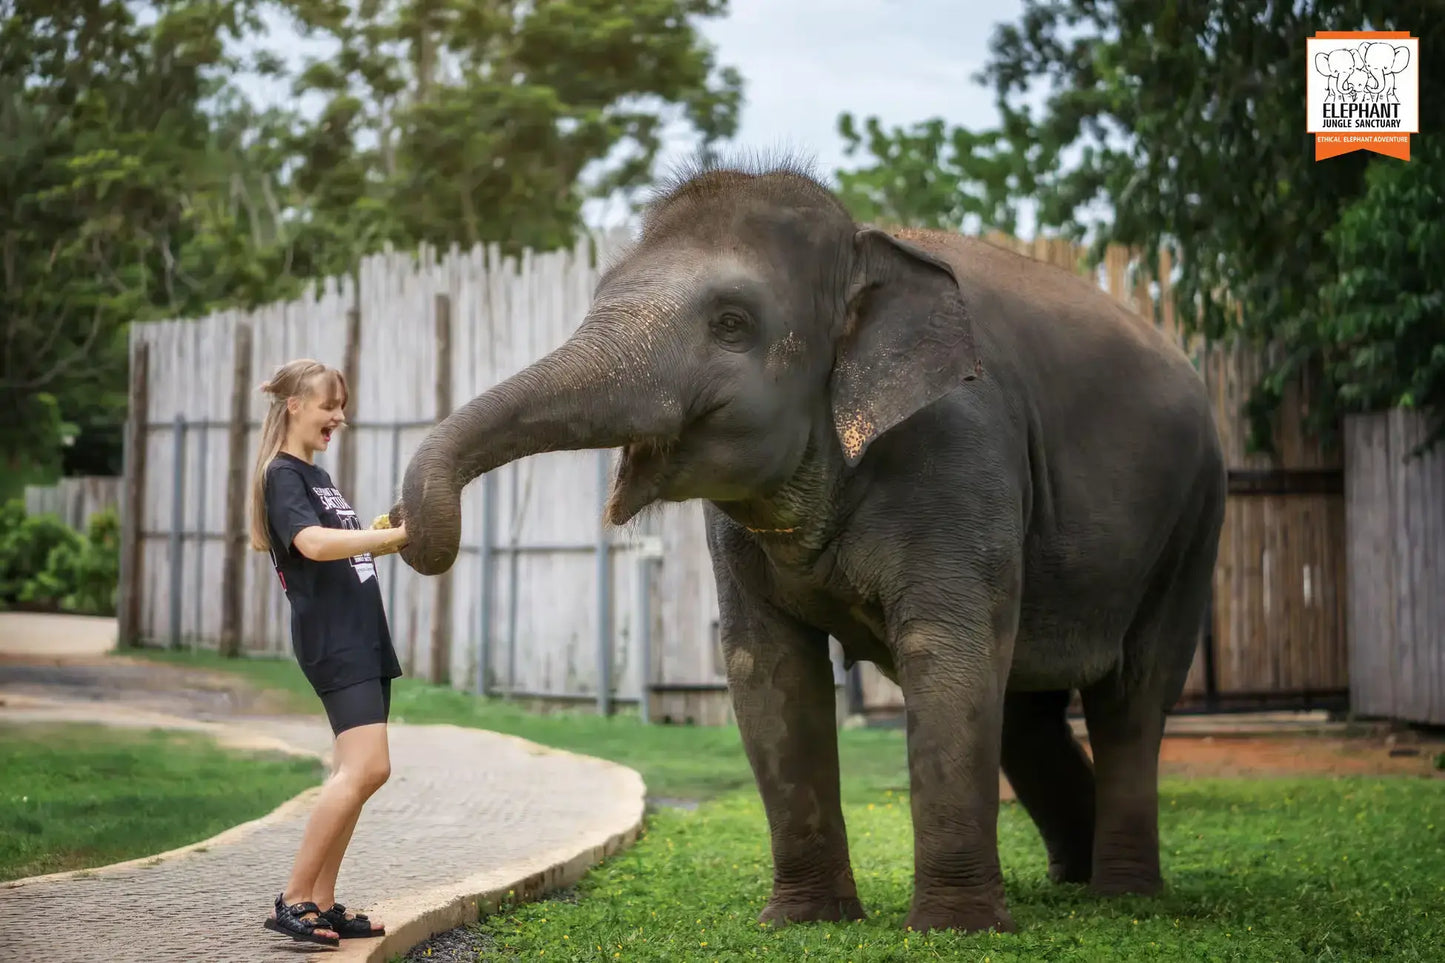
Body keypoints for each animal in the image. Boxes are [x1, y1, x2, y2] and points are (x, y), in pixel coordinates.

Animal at [389, 158, 1227, 935]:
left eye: (731, 322)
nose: (409, 529)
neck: (865, 250)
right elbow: (767, 671)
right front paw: (805, 920)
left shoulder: (963, 451)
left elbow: (947, 656)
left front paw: (952, 931)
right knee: (1026, 710)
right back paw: (1069, 880)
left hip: (1192, 517)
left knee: (1131, 693)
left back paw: (1123, 895)